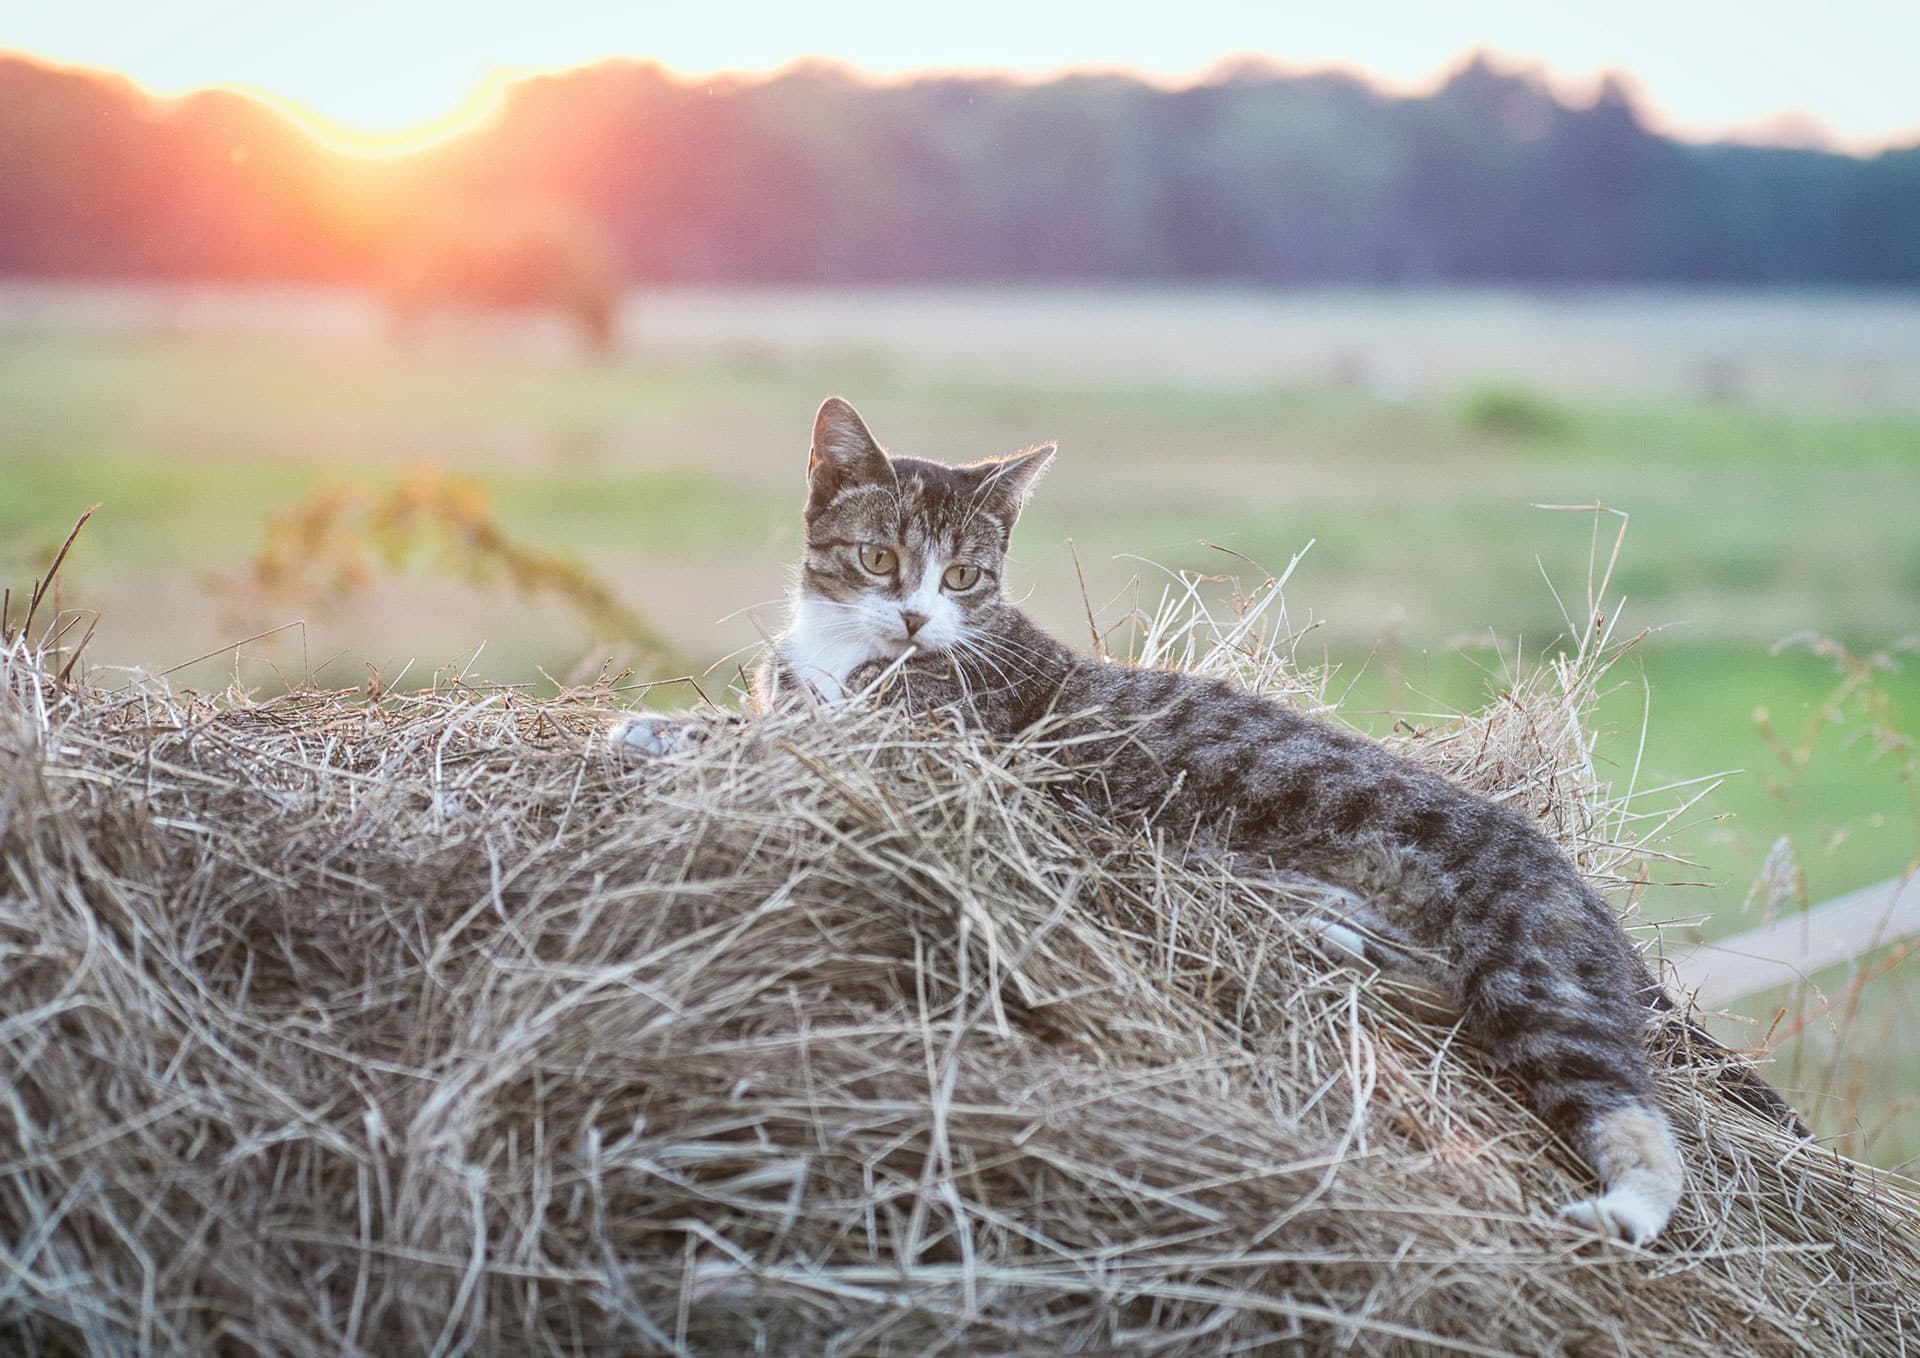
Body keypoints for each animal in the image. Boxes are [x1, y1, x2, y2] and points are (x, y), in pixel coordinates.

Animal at [622, 395, 1804, 1244]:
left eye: (962, 573)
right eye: (878, 558)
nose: (916, 618)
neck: (848, 651)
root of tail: (1575, 881)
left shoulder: (928, 753)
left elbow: (771, 740)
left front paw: (656, 729)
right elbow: (767, 722)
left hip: (1527, 967)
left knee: (1633, 1111)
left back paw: (1625, 1208)